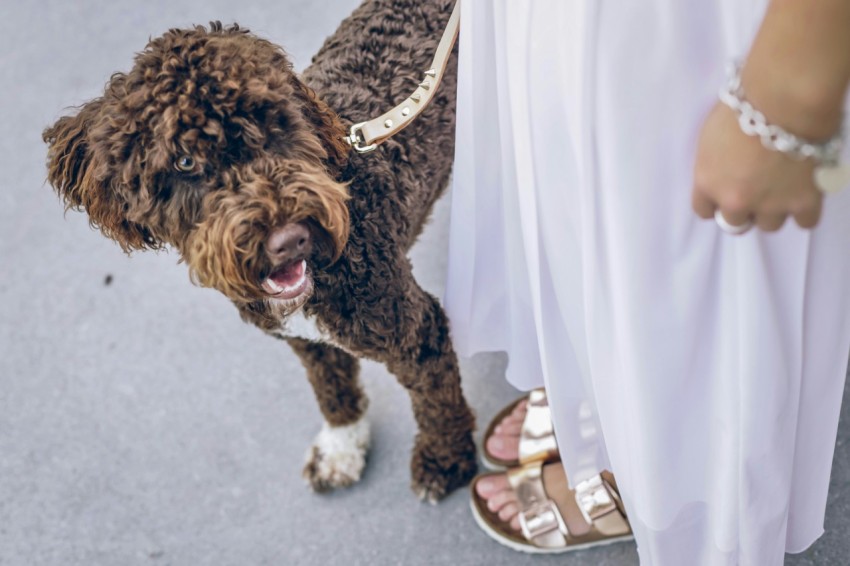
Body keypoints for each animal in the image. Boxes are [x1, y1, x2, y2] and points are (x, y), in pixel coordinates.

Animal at [43, 0, 474, 506]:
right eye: (184, 161)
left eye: (276, 124)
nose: (290, 239)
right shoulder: (307, 341)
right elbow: (332, 390)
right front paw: (341, 447)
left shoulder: (416, 332)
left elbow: (437, 402)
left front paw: (445, 461)